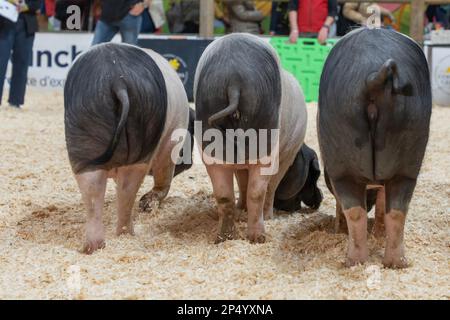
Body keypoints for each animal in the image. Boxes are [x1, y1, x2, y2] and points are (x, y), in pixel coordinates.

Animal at [195, 33, 308, 242]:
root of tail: (234, 82)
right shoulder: (285, 156)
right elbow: (267, 185)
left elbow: (242, 182)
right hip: (266, 138)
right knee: (259, 191)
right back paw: (258, 236)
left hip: (211, 141)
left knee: (225, 194)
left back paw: (225, 237)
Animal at [318, 28, 430, 268]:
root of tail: (371, 77)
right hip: (407, 152)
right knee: (395, 210)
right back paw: (395, 263)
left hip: (342, 160)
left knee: (356, 210)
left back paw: (353, 261)